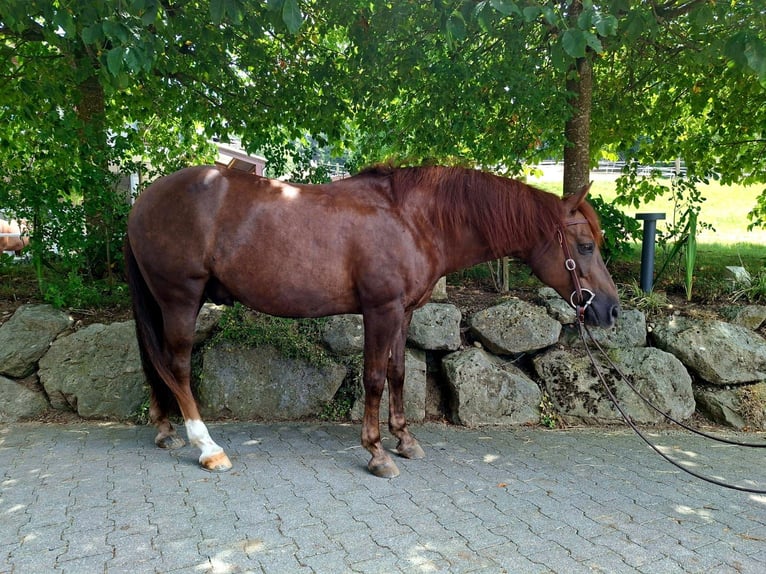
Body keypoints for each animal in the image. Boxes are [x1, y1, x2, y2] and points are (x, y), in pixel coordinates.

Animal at [124, 164, 620, 477]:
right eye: (585, 246)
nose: (610, 310)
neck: (414, 219)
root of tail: (143, 200)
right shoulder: (380, 311)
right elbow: (376, 378)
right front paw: (377, 453)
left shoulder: (403, 312)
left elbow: (400, 373)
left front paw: (404, 439)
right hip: (181, 298)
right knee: (178, 366)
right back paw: (208, 448)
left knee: (154, 362)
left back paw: (166, 432)